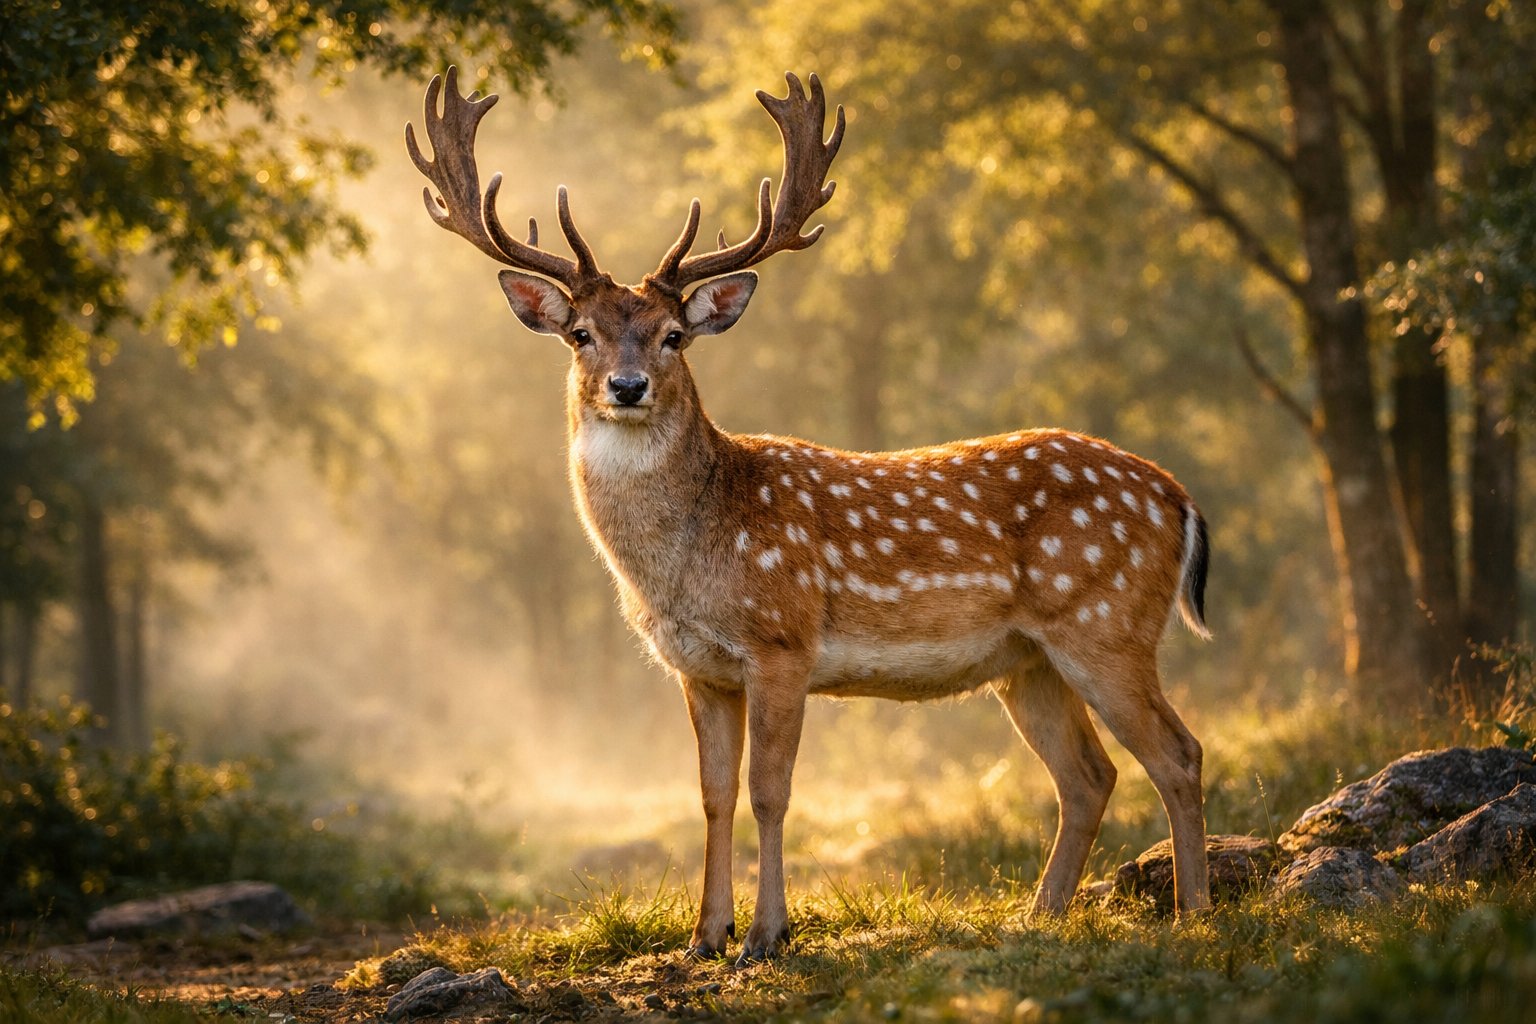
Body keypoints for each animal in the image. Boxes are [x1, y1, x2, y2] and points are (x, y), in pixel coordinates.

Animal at [407, 66, 1213, 964]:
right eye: (580, 332)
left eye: (675, 334)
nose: (627, 386)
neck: (685, 564)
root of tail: (1177, 497)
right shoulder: (697, 668)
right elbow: (712, 794)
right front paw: (705, 935)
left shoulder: (781, 640)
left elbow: (771, 790)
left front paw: (766, 934)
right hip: (1027, 661)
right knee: (1089, 774)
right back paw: (1041, 916)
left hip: (1107, 624)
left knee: (1178, 753)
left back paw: (1194, 914)